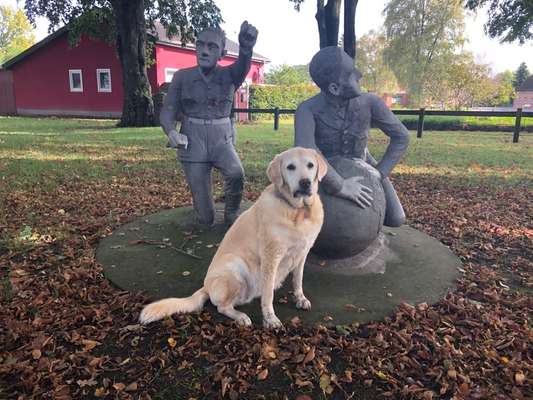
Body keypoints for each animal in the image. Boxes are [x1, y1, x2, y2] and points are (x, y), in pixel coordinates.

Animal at [139, 147, 326, 328]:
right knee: (223, 306)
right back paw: (241, 317)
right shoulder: (270, 258)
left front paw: (300, 298)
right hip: (235, 267)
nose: (305, 182)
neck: (299, 211)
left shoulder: (302, 253)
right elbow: (268, 296)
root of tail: (206, 287)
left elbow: (298, 280)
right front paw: (270, 319)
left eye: (310, 165)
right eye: (290, 167)